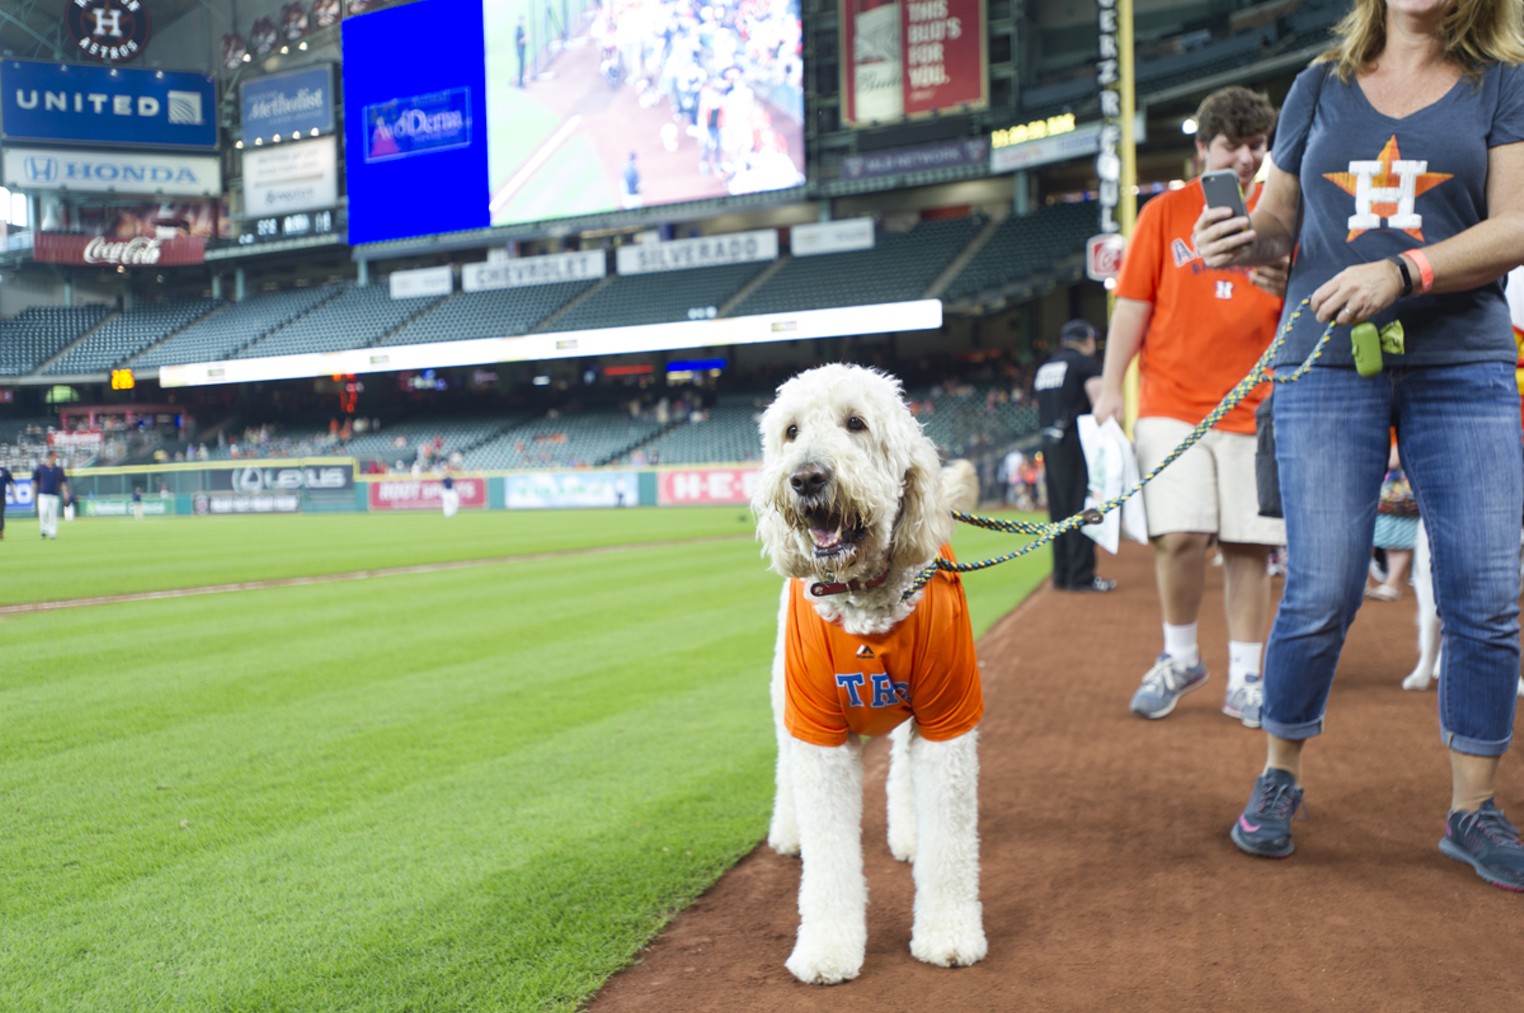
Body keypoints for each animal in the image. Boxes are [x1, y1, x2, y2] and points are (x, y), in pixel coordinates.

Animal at [752, 361, 987, 981]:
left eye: (855, 423)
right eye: (790, 431)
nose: (806, 477)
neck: (864, 602)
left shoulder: (948, 717)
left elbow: (952, 845)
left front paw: (949, 935)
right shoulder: (819, 733)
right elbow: (830, 861)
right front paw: (827, 950)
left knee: (903, 769)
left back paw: (909, 833)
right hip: (784, 697)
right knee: (785, 764)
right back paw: (789, 832)